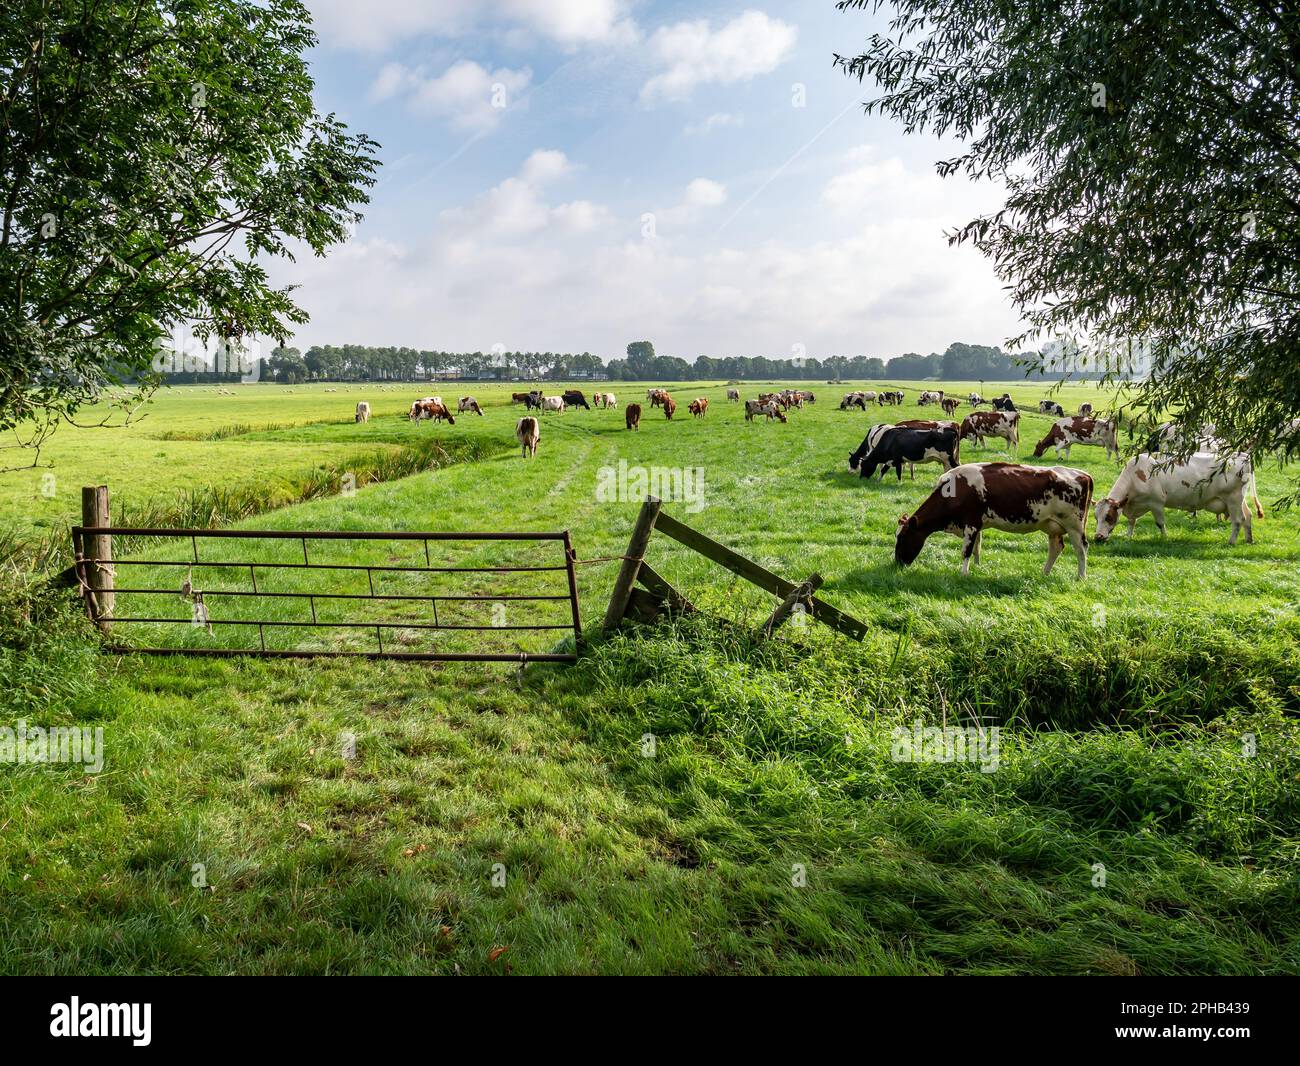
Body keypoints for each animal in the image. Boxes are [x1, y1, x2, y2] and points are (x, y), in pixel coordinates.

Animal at [894, 465, 1097, 579]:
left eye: (903, 538)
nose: (897, 563)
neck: (954, 490)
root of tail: (1084, 474)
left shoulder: (971, 523)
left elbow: (966, 551)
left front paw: (963, 573)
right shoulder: (976, 525)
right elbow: (977, 548)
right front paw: (977, 568)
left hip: (1074, 525)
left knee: (1081, 549)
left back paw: (1081, 577)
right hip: (1052, 526)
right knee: (1056, 548)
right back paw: (1045, 573)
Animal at [1092, 452, 1253, 546]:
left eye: (1109, 516)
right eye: (1096, 517)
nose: (1098, 537)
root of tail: (1242, 455)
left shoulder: (1156, 502)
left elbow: (1160, 523)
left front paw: (1164, 538)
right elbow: (1132, 521)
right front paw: (1128, 536)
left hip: (1233, 499)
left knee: (1238, 520)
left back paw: (1231, 542)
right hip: (1239, 500)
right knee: (1248, 516)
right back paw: (1249, 539)